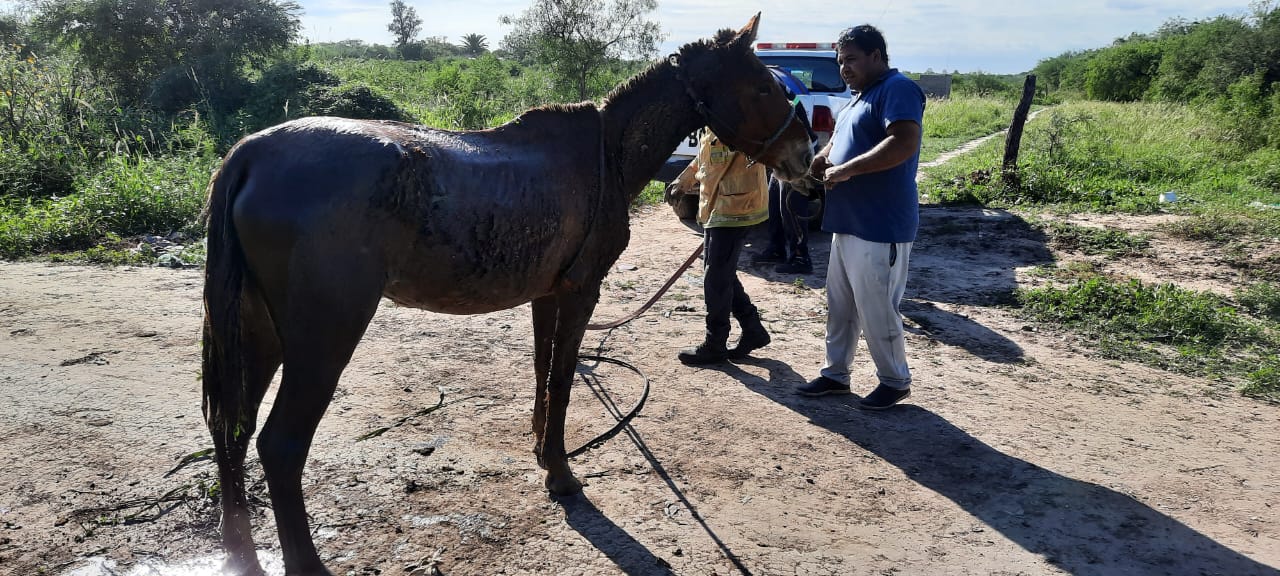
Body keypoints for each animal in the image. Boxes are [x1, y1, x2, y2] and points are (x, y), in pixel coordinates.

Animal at [201, 14, 813, 576]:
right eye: (763, 87)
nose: (805, 158)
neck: (607, 154)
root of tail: (250, 154)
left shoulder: (548, 294)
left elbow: (544, 375)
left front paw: (543, 451)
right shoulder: (581, 291)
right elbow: (562, 381)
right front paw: (561, 474)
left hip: (258, 330)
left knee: (231, 427)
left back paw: (239, 552)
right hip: (322, 338)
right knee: (279, 445)